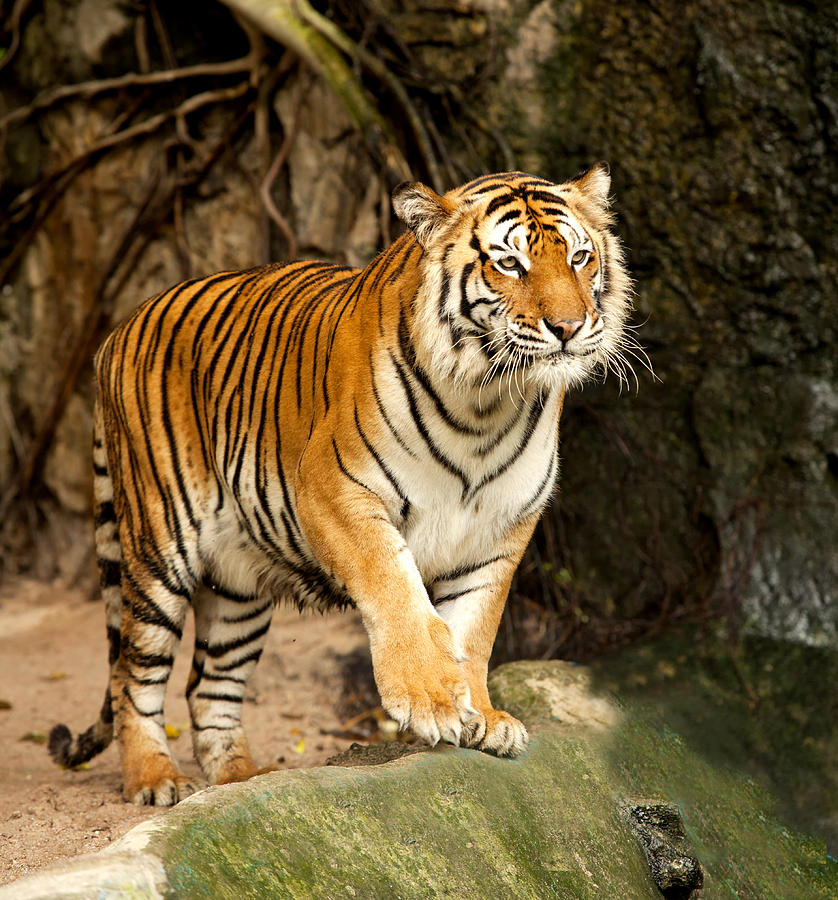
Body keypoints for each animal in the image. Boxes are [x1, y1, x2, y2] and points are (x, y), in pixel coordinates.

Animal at [49, 165, 632, 804]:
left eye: (579, 258)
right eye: (509, 264)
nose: (569, 328)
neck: (488, 404)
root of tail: (117, 329)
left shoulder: (500, 530)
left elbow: (474, 629)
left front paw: (482, 717)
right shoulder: (336, 492)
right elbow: (396, 588)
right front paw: (431, 702)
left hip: (237, 585)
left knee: (209, 687)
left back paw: (241, 780)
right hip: (159, 551)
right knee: (133, 674)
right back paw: (156, 779)